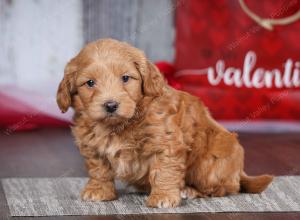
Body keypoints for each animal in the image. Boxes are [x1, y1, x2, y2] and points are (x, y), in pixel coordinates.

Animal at [56, 38, 274, 208]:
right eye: (90, 83)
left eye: (125, 78)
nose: (110, 105)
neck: (120, 124)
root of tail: (239, 171)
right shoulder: (91, 146)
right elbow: (99, 169)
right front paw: (99, 191)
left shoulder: (165, 142)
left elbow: (164, 171)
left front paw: (163, 197)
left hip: (210, 165)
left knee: (225, 189)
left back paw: (189, 191)